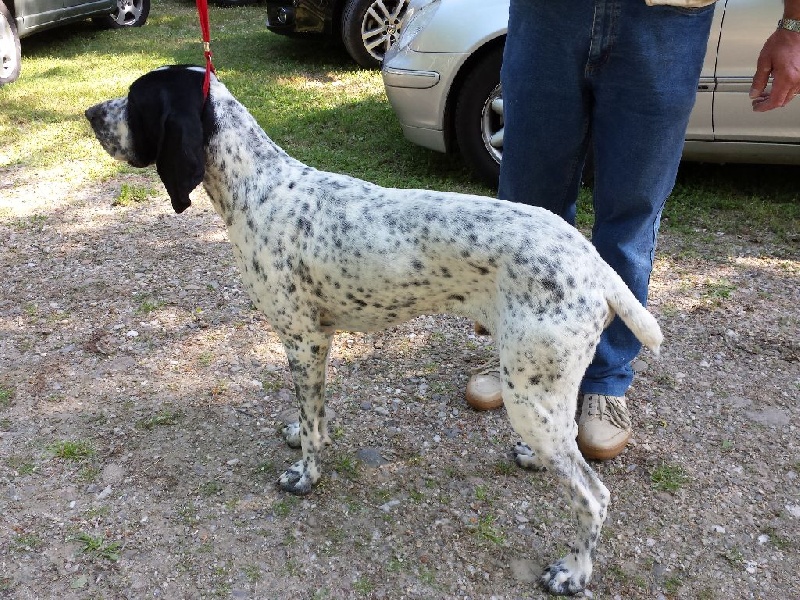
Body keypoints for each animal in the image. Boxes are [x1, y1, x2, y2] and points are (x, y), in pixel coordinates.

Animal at [85, 65, 662, 595]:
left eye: (136, 99)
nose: (90, 113)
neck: (260, 189)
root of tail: (590, 260)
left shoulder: (303, 340)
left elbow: (312, 430)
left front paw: (305, 475)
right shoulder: (318, 343)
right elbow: (313, 415)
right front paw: (304, 435)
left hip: (528, 392)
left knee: (593, 496)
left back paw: (574, 571)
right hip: (540, 394)